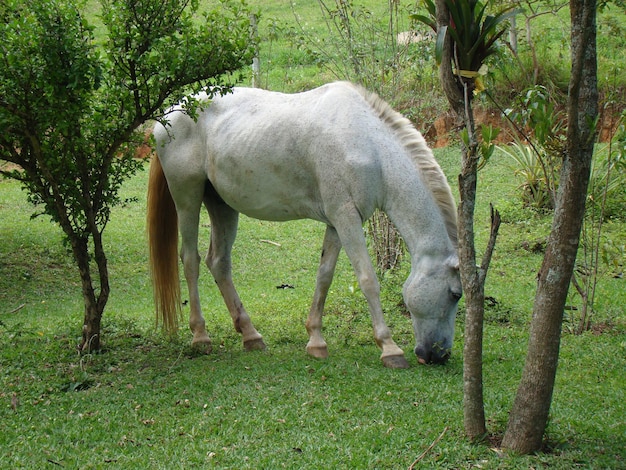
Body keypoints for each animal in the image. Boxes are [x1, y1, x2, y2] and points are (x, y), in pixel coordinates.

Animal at [146, 81, 458, 368]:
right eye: (455, 294)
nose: (439, 355)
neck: (368, 144)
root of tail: (170, 113)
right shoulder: (346, 218)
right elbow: (368, 279)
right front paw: (389, 347)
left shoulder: (337, 222)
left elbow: (324, 276)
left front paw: (316, 341)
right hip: (187, 198)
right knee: (191, 260)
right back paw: (201, 336)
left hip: (222, 205)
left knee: (219, 263)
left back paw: (251, 335)